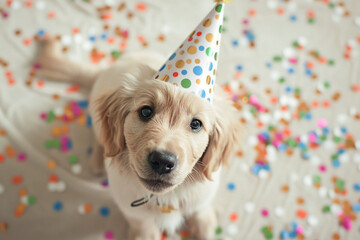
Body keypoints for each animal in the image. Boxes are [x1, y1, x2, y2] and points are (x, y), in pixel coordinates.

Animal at [38, 38, 242, 239]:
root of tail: (104, 70)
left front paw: (204, 225)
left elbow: (200, 213)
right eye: (146, 112)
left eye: (196, 124)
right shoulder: (132, 210)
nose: (162, 161)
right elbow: (142, 225)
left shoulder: (201, 197)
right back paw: (97, 160)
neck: (165, 197)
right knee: (101, 138)